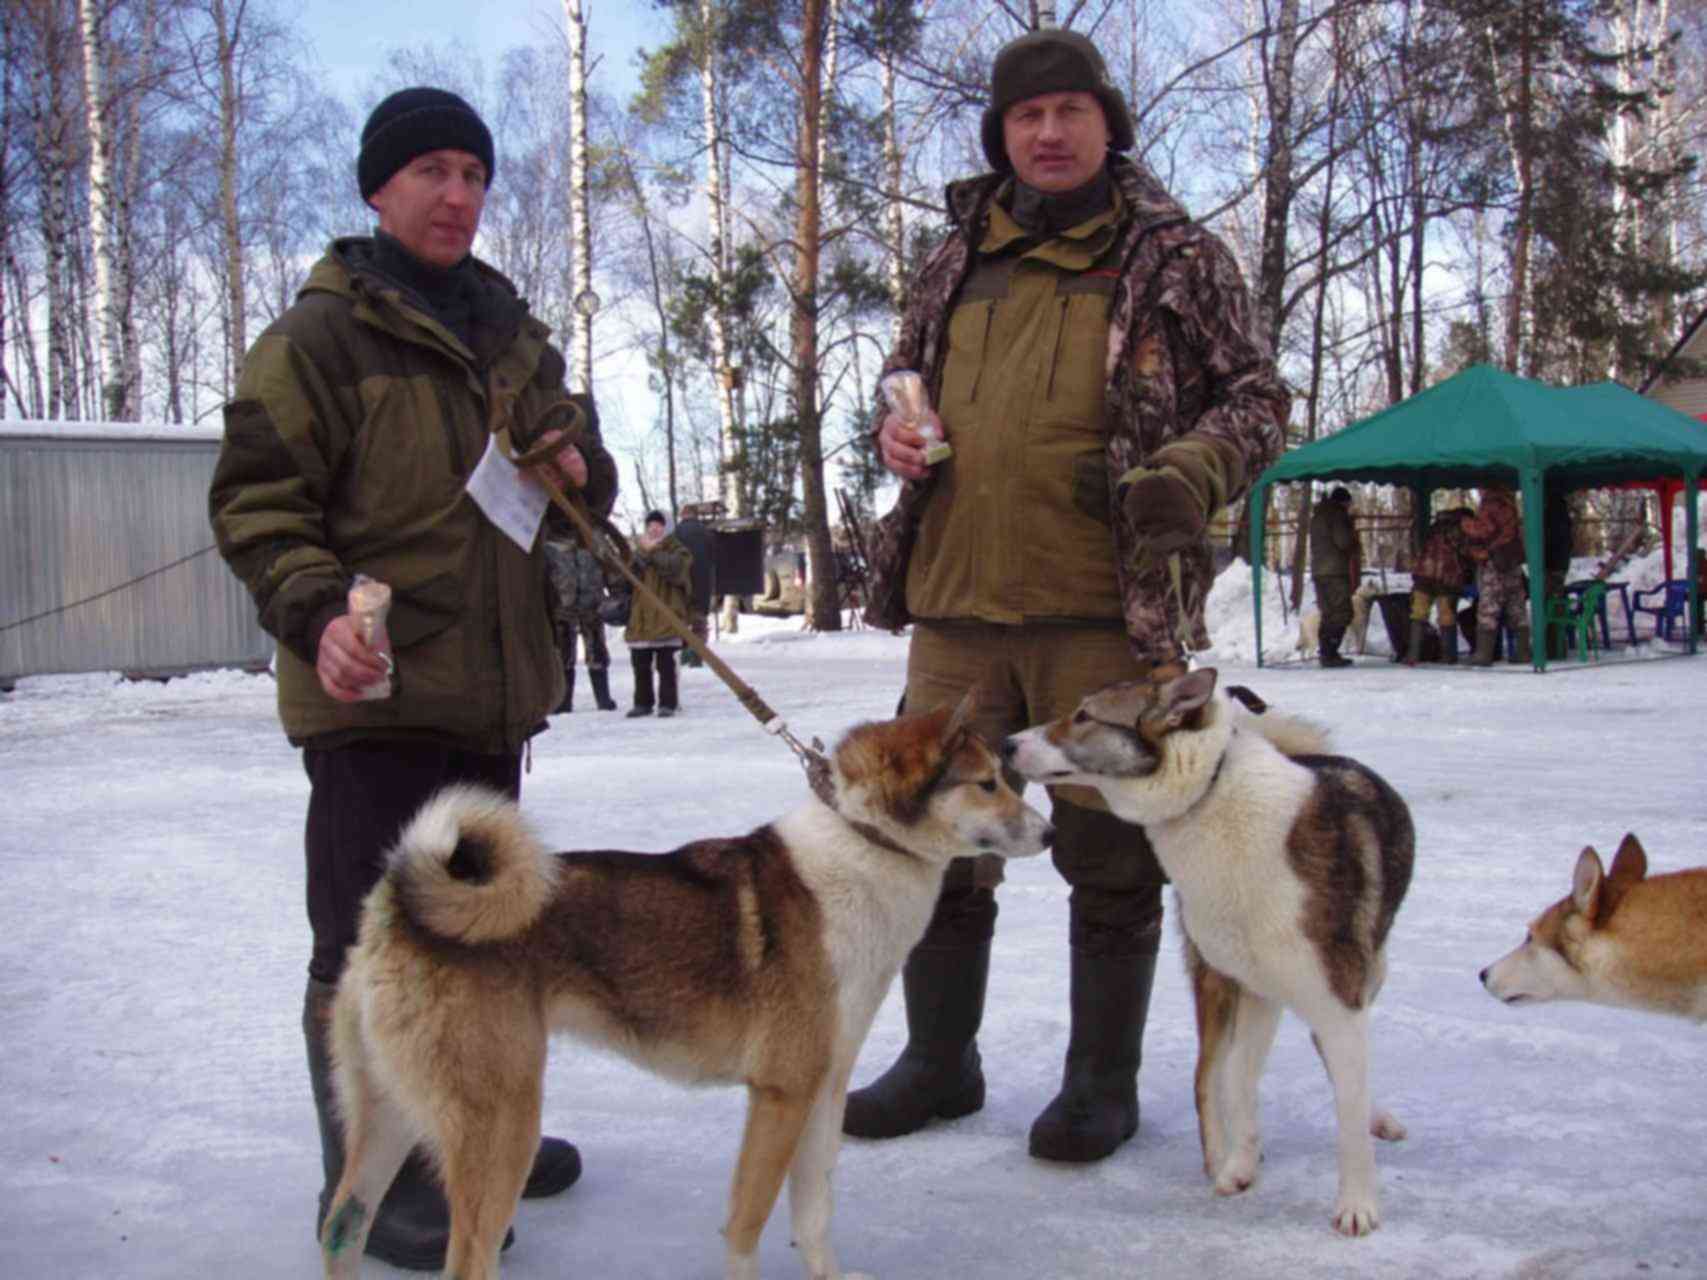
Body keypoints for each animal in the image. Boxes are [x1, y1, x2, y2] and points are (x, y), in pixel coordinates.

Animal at [314, 696, 1044, 1276]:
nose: (1049, 831)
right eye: (986, 784)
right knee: (465, 1258)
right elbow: (747, 1225)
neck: (864, 846)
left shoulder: (824, 1089)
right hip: (501, 1124)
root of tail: (397, 906)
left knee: (342, 1226)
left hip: (392, 1112)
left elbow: (814, 1212)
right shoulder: (780, 1094)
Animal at [996, 672, 1413, 1242]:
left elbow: (1346, 1115)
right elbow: (1237, 1081)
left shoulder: (1337, 999)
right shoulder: (1253, 989)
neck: (1210, 796)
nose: (1005, 744)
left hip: (1369, 972)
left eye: (1084, 716)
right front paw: (1240, 1164)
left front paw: (1357, 1206)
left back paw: (1374, 1118)